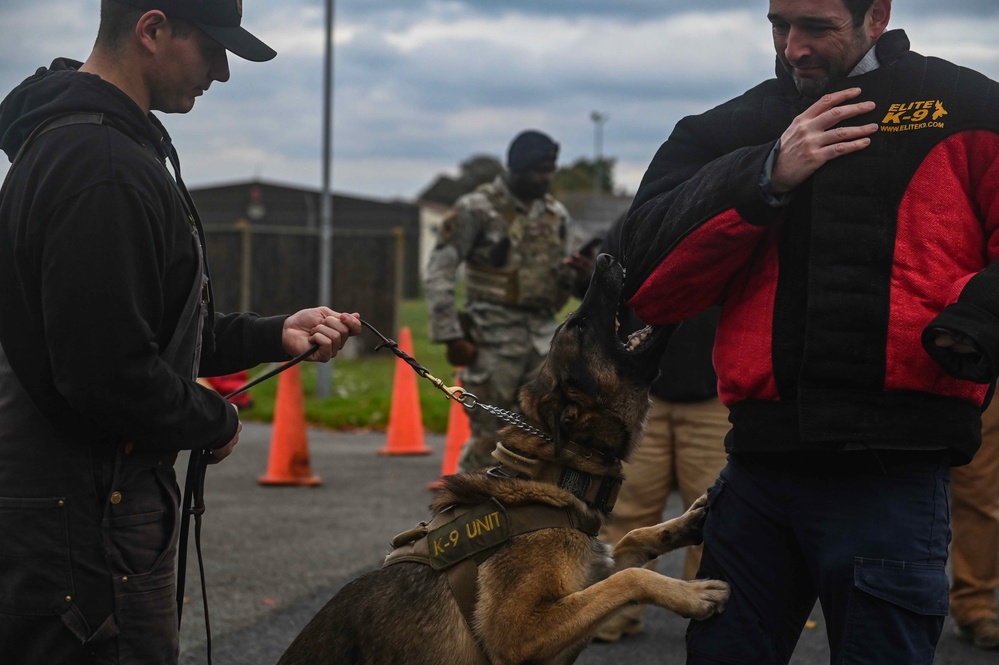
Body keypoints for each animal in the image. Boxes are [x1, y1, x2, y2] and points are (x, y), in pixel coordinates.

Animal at [278, 254, 732, 664]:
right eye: (579, 326)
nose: (604, 257)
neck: (556, 474)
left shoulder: (590, 574)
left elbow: (629, 543)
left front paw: (683, 525)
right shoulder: (519, 633)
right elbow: (631, 577)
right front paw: (692, 593)